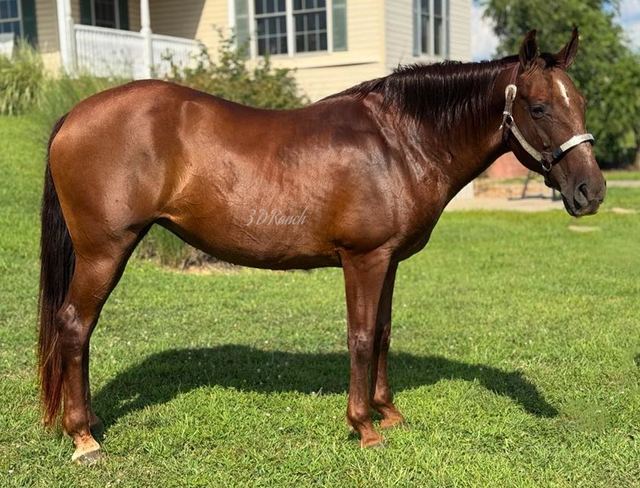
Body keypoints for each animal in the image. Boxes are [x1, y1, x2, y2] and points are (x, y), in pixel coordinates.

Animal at [38, 28, 605, 463]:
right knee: (75, 326)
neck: (398, 142)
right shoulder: (363, 259)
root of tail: (73, 115)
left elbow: (383, 333)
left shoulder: (389, 261)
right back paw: (84, 438)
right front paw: (364, 427)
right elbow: (360, 337)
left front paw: (388, 413)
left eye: (580, 103)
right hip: (104, 252)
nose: (592, 191)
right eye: (539, 107)